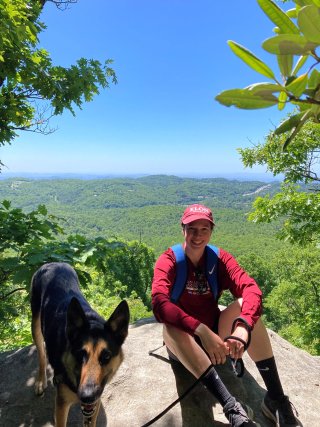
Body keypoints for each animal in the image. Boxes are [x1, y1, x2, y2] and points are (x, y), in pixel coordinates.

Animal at [30, 262, 130, 426]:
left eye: (106, 356)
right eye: (80, 354)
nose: (87, 396)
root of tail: (53, 263)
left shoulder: (94, 403)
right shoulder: (62, 405)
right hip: (35, 323)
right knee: (41, 353)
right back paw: (40, 380)